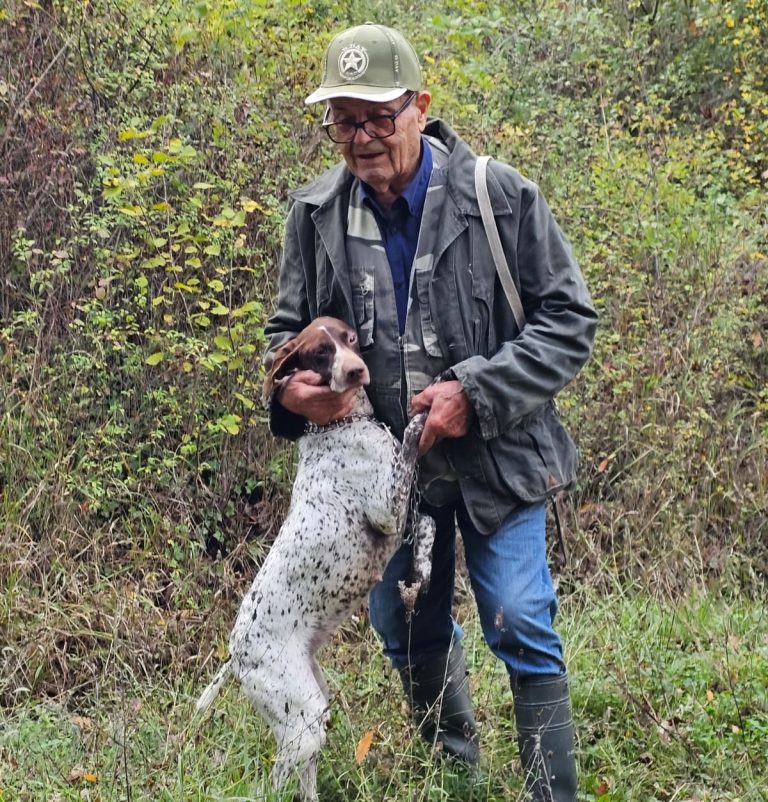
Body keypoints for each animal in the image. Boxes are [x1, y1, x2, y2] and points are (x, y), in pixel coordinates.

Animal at [195, 316, 436, 796]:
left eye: (348, 339)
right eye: (319, 354)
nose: (356, 371)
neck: (343, 423)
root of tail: (236, 655)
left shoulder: (401, 518)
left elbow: (429, 525)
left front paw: (423, 567)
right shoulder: (387, 509)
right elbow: (409, 441)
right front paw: (423, 410)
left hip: (310, 708)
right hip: (302, 721)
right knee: (272, 785)